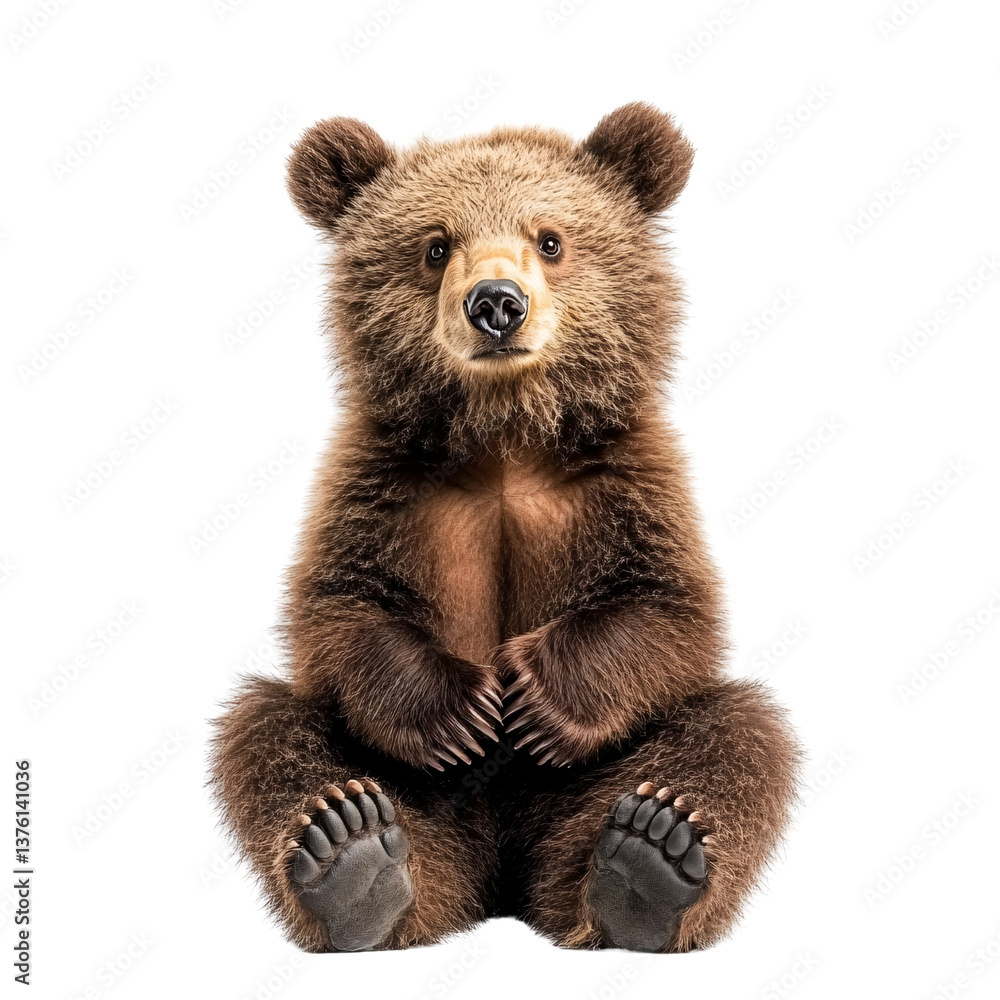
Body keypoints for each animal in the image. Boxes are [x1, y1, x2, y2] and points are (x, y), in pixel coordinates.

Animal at [209, 102, 801, 954]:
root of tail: (499, 888)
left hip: (582, 790)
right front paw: (464, 711)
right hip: (418, 802)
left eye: (550, 239)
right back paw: (353, 861)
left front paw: (527, 693)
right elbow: (337, 607)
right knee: (268, 732)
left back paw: (649, 863)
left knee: (737, 733)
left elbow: (670, 609)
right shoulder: (378, 485)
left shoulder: (627, 483)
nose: (496, 302)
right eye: (434, 245)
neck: (503, 437)